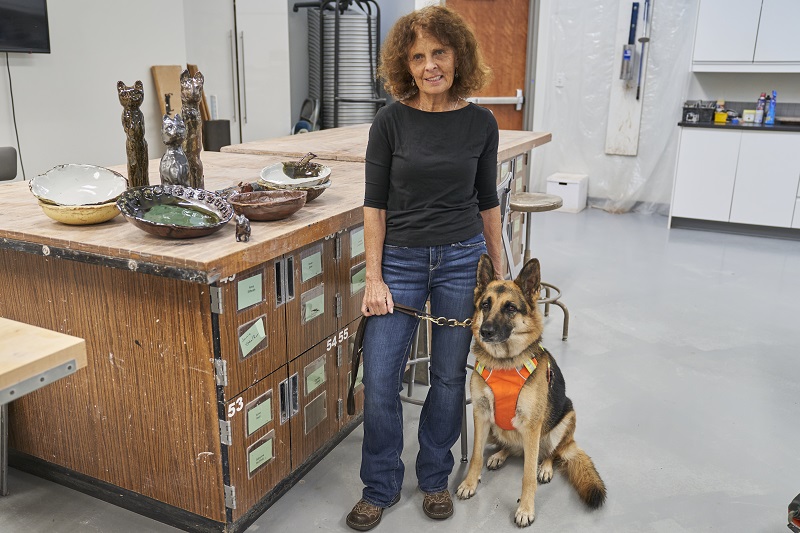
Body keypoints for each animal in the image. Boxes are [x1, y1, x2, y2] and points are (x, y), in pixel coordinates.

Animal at [456, 256, 608, 524]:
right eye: (485, 305)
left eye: (510, 308)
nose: (485, 331)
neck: (505, 363)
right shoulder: (481, 415)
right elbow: (475, 456)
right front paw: (470, 483)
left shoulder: (532, 425)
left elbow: (527, 474)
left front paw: (525, 509)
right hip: (496, 429)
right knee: (512, 447)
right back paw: (500, 454)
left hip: (564, 420)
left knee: (550, 453)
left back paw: (545, 467)